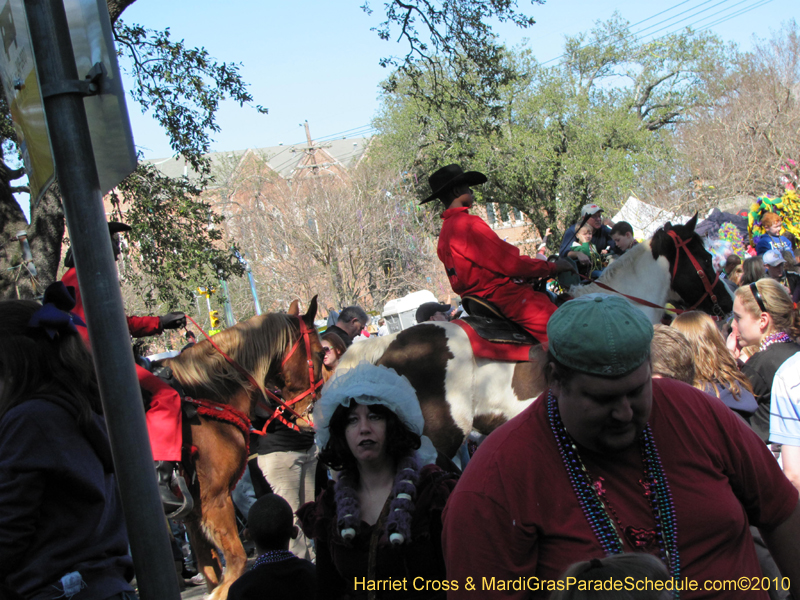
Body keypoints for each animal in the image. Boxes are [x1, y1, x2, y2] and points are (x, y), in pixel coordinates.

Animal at [164, 298, 324, 600]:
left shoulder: (192, 514)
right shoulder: (215, 500)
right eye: (321, 354)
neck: (208, 399)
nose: (311, 407)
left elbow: (211, 568)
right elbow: (235, 562)